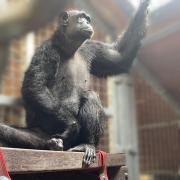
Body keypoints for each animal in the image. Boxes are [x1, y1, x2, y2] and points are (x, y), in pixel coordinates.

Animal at [0, 0, 149, 166]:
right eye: (80, 17)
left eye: (87, 18)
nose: (86, 22)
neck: (69, 47)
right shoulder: (46, 51)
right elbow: (35, 85)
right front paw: (72, 125)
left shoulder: (92, 48)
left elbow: (119, 58)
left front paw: (143, 7)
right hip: (44, 135)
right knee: (9, 130)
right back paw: (51, 144)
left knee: (91, 96)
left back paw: (86, 144)